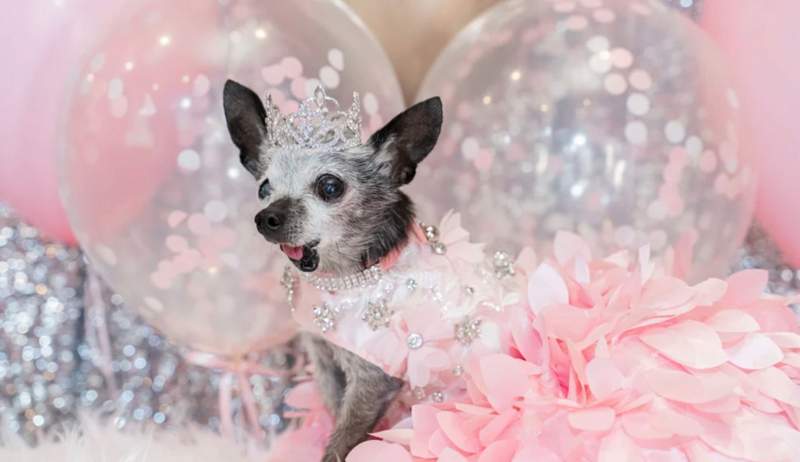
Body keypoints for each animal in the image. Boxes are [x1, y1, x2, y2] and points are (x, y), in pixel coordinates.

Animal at [223, 81, 444, 460]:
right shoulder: (324, 359)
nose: (266, 217)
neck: (345, 281)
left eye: (330, 187)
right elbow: (332, 409)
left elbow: (344, 440)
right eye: (264, 188)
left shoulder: (373, 380)